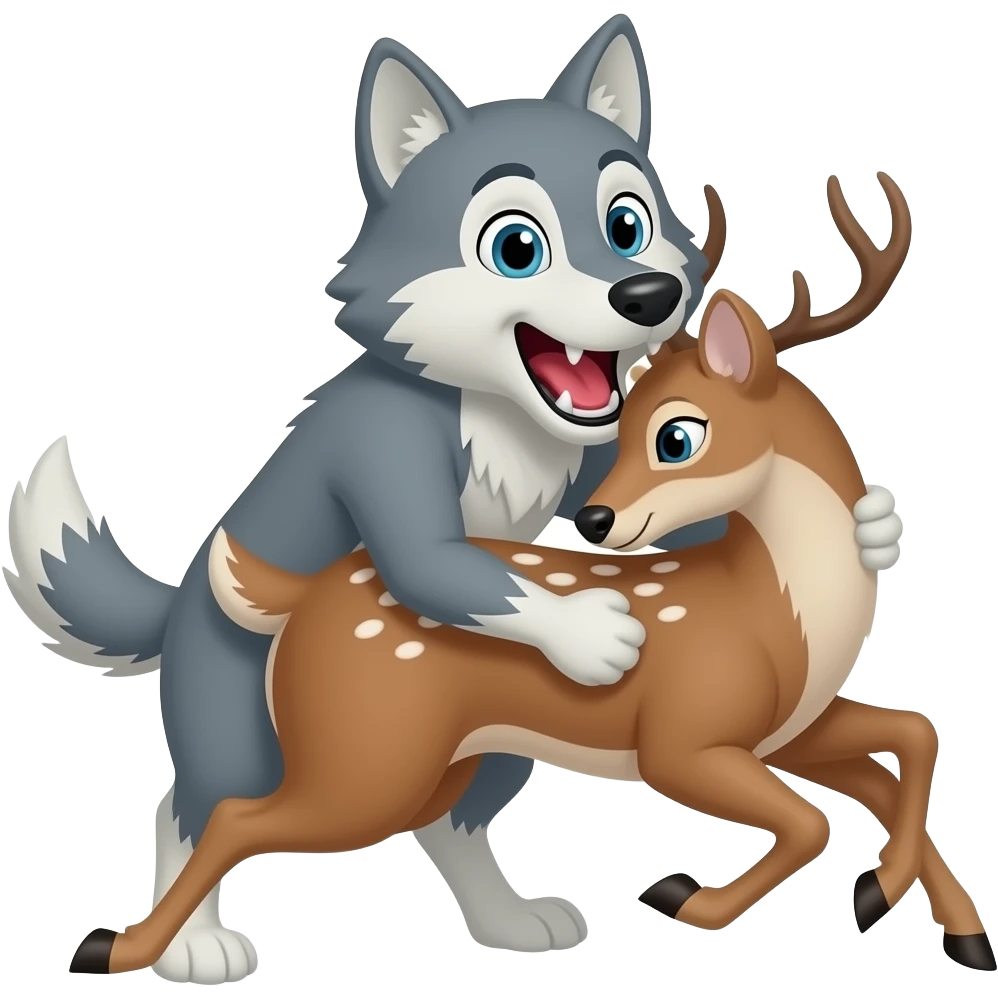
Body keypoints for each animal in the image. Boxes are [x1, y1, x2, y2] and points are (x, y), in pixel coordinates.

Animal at [3, 13, 903, 983]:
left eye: (628, 223)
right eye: (517, 247)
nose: (597, 522)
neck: (782, 613)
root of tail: (274, 594)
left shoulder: (791, 731)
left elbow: (905, 746)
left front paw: (908, 900)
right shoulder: (685, 740)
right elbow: (808, 821)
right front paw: (688, 895)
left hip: (458, 753)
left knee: (437, 821)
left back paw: (518, 923)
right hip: (347, 748)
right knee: (217, 804)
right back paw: (156, 949)